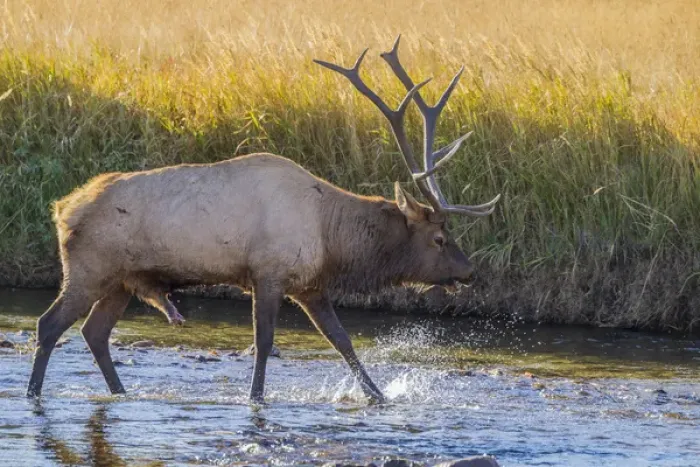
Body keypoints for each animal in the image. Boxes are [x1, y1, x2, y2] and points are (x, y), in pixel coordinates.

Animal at [26, 36, 500, 404]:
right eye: (439, 237)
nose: (469, 271)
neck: (331, 238)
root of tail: (62, 209)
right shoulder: (267, 273)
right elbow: (264, 343)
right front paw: (255, 398)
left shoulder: (309, 285)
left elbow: (342, 340)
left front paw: (379, 396)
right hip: (90, 267)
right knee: (49, 324)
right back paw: (34, 394)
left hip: (122, 281)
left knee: (94, 333)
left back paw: (120, 392)